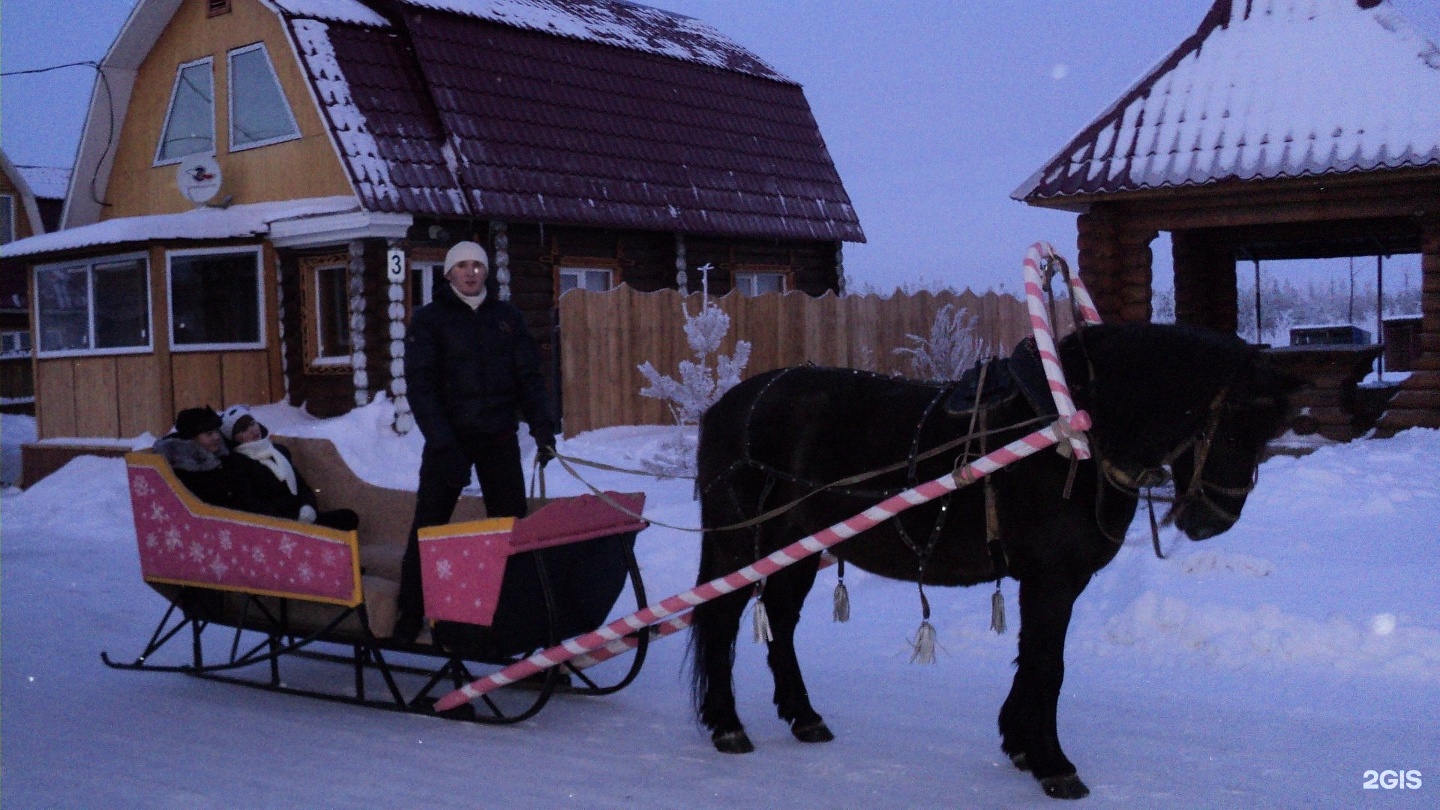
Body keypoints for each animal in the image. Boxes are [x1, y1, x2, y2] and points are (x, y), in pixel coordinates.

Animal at [691, 321, 1301, 795]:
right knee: (718, 618)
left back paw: (803, 715)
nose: (1213, 519)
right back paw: (726, 724)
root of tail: (723, 407)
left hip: (796, 546)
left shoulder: (1057, 580)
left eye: (1267, 431)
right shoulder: (1051, 577)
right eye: (1232, 423)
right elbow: (1048, 665)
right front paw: (1054, 763)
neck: (1071, 430)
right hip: (738, 543)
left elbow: (1032, 658)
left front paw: (1020, 743)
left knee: (782, 620)